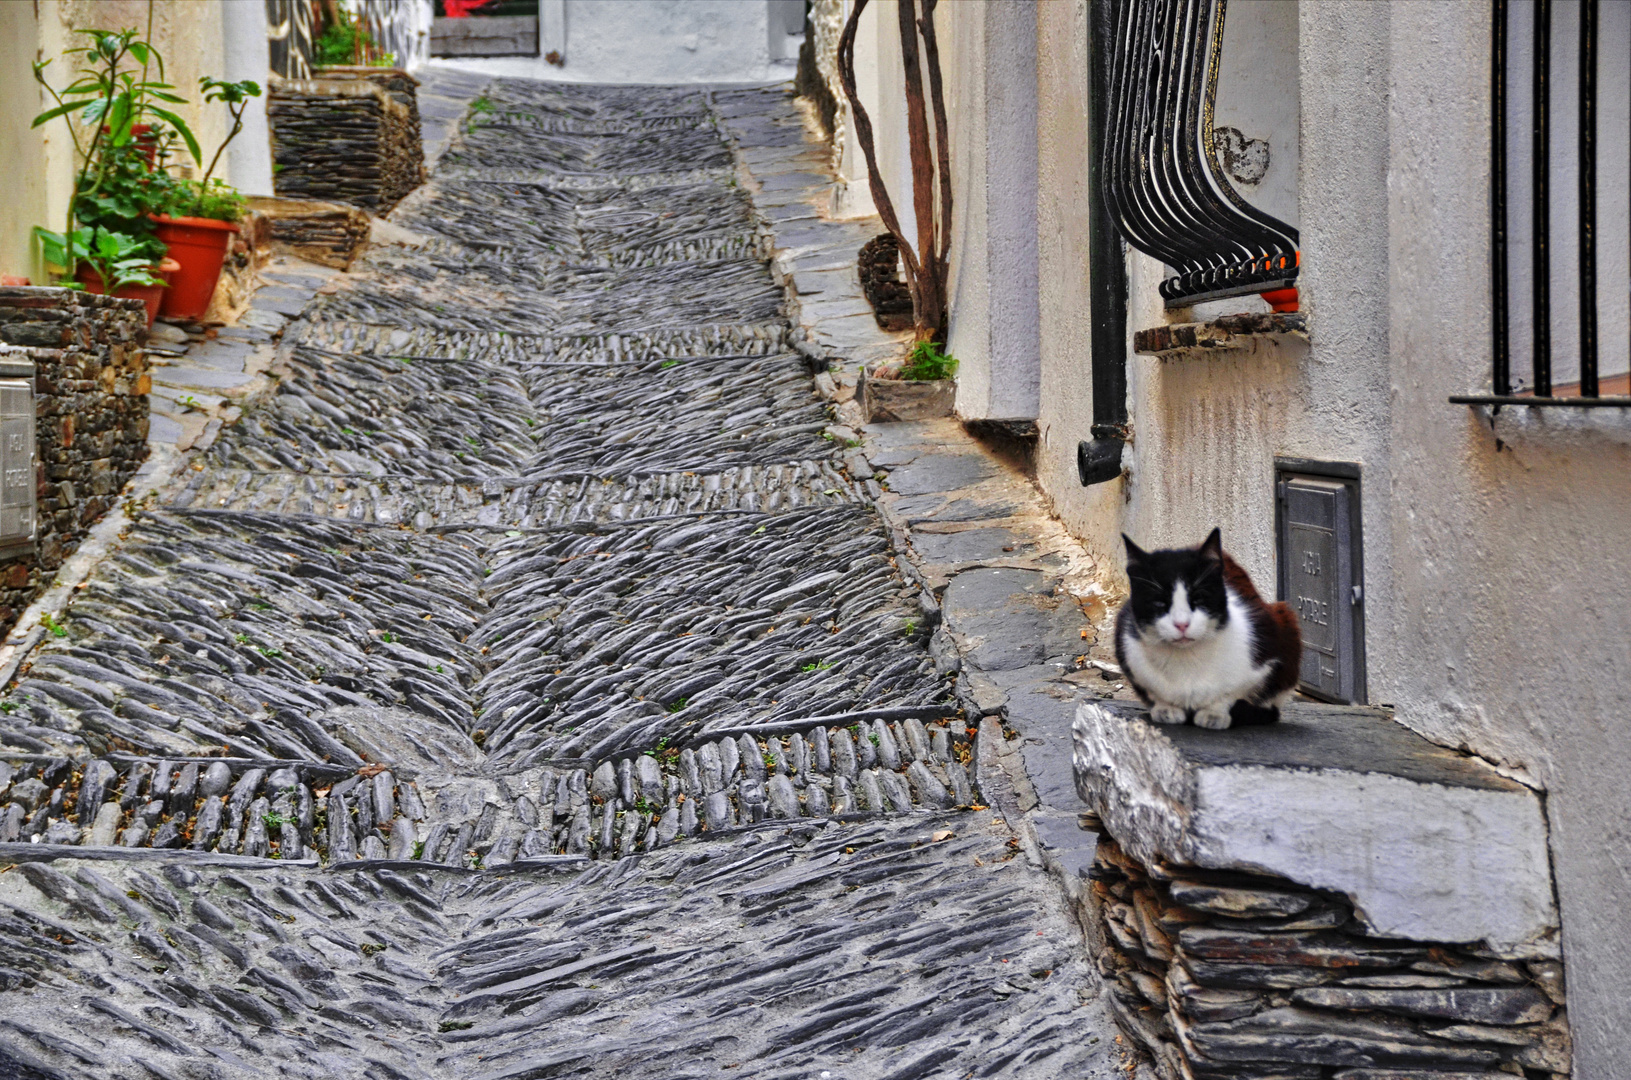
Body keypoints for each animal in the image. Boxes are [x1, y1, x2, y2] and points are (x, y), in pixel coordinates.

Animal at [1109, 528, 1298, 730]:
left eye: (1199, 598)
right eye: (1159, 603)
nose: (1182, 624)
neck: (1187, 662)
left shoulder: (1266, 655)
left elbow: (1231, 693)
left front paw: (1214, 714)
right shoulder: (1130, 653)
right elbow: (1155, 692)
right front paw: (1166, 708)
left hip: (1285, 618)